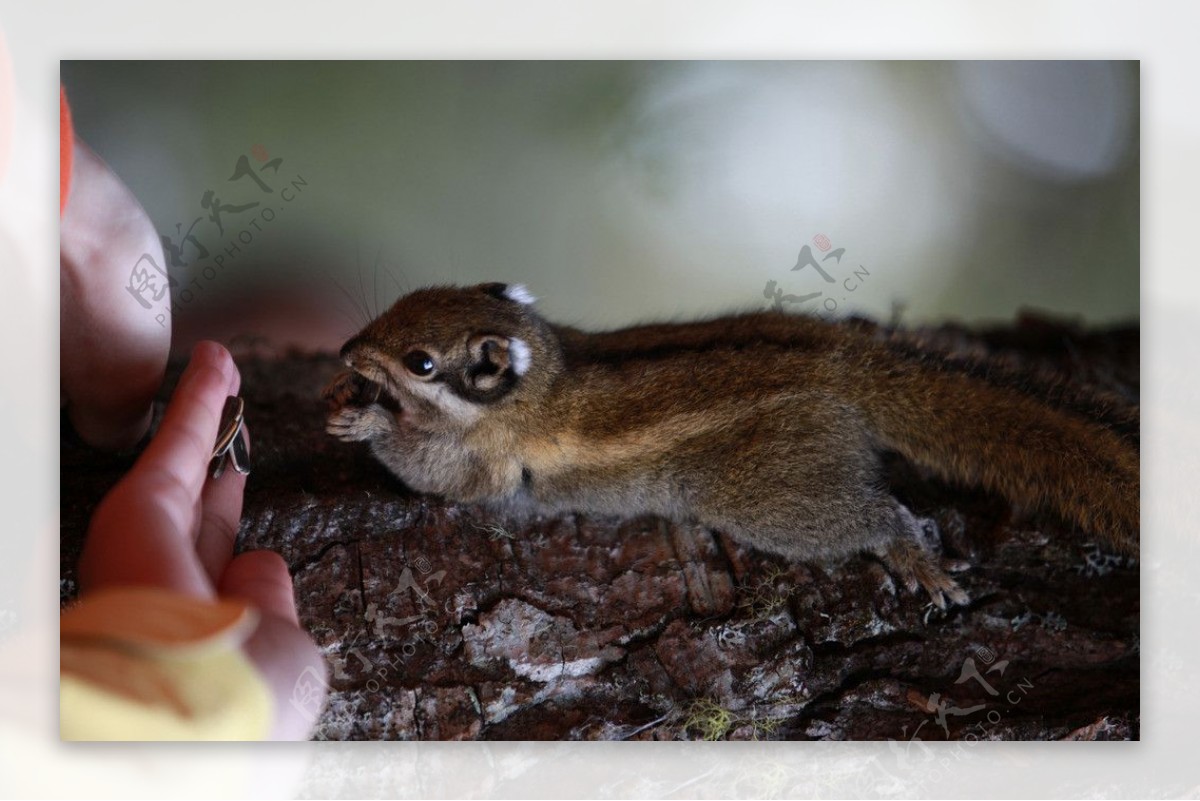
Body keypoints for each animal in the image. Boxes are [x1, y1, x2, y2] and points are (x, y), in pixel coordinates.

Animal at [324, 282, 1137, 606]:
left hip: (764, 492)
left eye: (421, 362)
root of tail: (846, 364)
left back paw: (909, 551)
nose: (346, 350)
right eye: (402, 302)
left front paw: (368, 422)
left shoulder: (487, 460)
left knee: (877, 515)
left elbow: (438, 476)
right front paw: (345, 400)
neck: (547, 370)